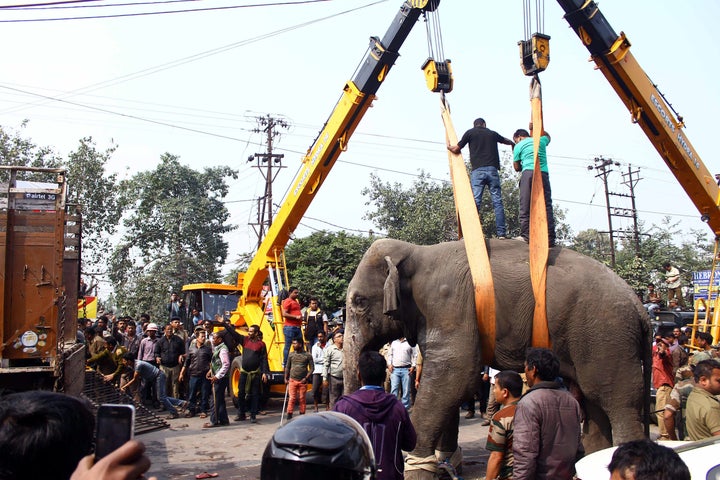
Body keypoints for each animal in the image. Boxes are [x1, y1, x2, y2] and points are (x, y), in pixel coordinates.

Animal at [344, 238, 652, 478]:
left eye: (359, 302)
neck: (416, 251)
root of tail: (640, 307)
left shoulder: (448, 305)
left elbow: (454, 375)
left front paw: (416, 468)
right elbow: (449, 383)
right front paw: (446, 464)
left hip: (608, 336)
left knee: (619, 401)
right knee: (594, 401)